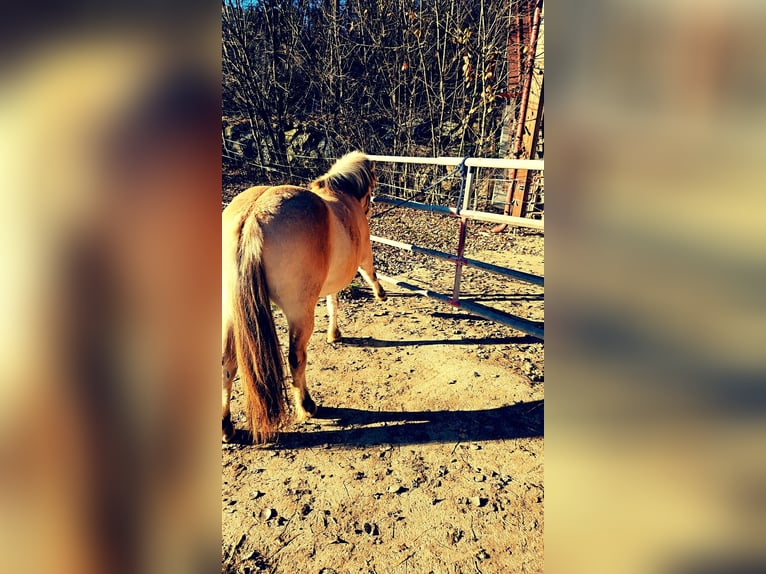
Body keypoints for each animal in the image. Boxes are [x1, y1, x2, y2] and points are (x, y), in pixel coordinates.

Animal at [221, 151, 387, 443]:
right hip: (299, 314)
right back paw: (307, 406)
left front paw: (334, 334)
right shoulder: (364, 256)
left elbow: (333, 302)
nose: (369, 206)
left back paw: (226, 428)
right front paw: (380, 293)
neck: (340, 194)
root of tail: (253, 216)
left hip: (231, 314)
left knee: (227, 366)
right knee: (296, 358)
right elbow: (369, 272)